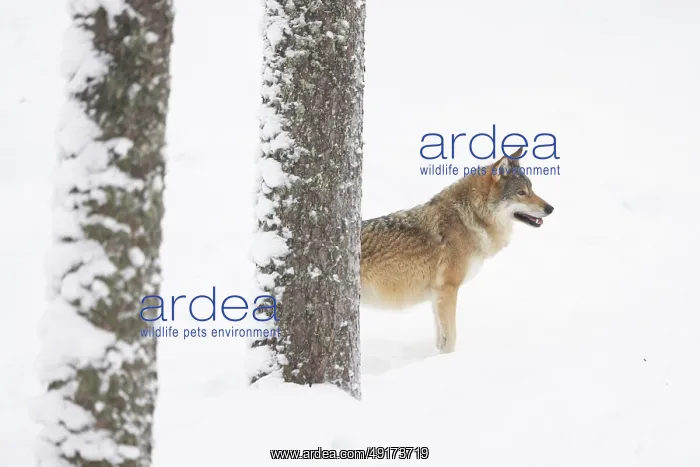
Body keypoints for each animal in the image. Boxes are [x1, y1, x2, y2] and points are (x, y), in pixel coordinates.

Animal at [360, 148, 554, 353]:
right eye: (521, 193)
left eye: (531, 189)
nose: (550, 208)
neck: (470, 218)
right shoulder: (448, 289)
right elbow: (451, 339)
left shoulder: (437, 295)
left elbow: (441, 340)